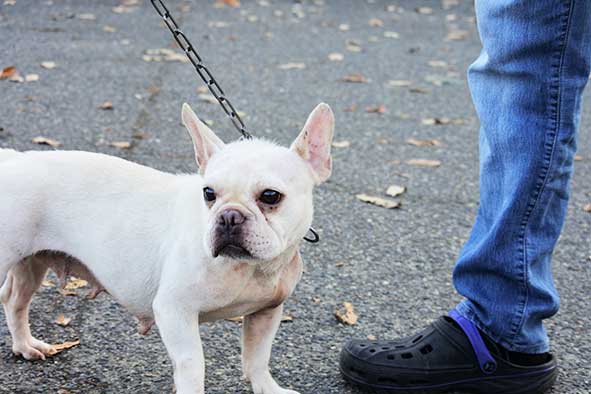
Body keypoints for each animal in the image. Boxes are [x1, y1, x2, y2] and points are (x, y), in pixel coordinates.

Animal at [0, 102, 332, 394]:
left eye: (270, 196)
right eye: (208, 193)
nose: (228, 216)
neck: (247, 269)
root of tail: (14, 159)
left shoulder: (266, 312)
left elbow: (258, 358)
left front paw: (268, 388)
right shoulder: (174, 310)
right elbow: (193, 364)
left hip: (32, 262)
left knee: (15, 300)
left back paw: (25, 346)